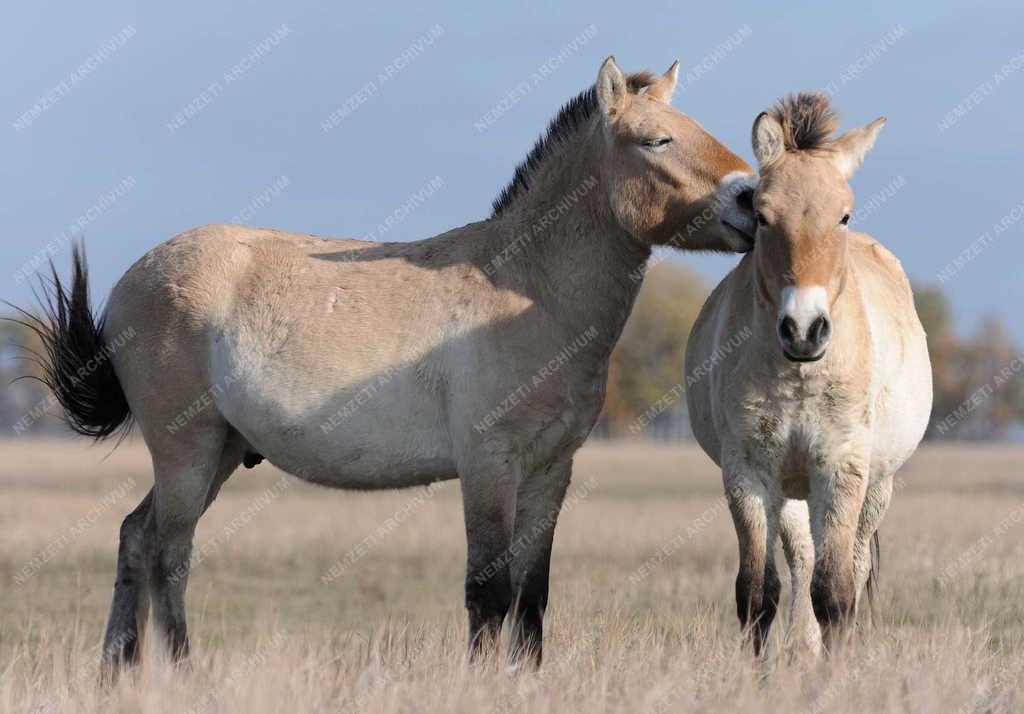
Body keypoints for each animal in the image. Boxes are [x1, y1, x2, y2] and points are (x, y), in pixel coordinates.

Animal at [25, 57, 761, 672]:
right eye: (656, 141)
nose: (752, 199)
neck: (527, 286)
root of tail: (132, 281)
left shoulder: (551, 471)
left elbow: (532, 593)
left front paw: (525, 678)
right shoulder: (489, 465)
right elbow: (488, 590)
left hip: (220, 453)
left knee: (137, 538)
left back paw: (116, 673)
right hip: (188, 450)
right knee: (170, 556)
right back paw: (180, 670)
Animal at [684, 93, 933, 651]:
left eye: (843, 215)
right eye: (761, 215)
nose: (803, 329)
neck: (799, 378)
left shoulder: (840, 471)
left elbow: (836, 593)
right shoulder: (750, 475)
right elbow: (758, 593)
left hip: (873, 490)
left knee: (851, 570)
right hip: (792, 491)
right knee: (801, 563)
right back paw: (803, 650)